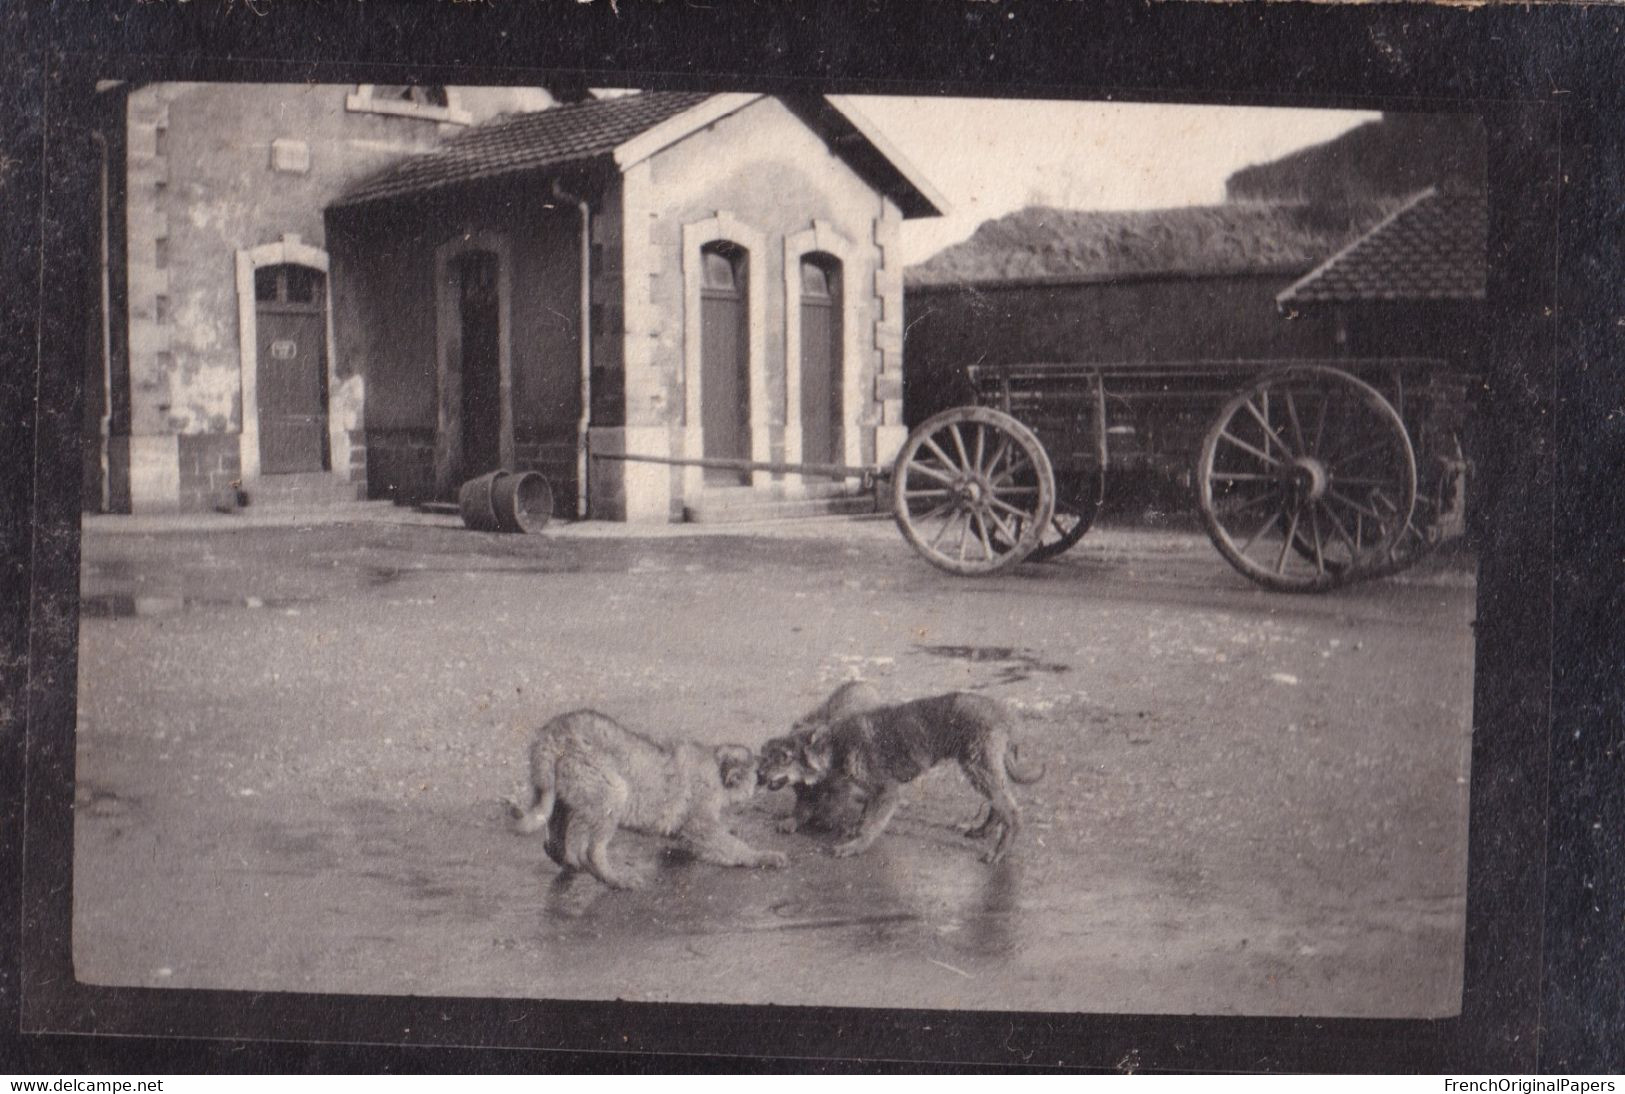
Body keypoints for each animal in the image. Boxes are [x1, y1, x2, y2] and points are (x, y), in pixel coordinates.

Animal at [750, 692, 1040, 864]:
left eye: (785, 757)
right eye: (765, 755)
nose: (759, 775)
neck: (837, 745)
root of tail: (1005, 713)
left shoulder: (887, 791)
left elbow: (870, 826)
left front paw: (854, 846)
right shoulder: (871, 791)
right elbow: (864, 817)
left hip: (979, 767)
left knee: (1012, 812)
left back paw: (998, 851)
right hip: (981, 769)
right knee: (999, 806)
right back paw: (982, 831)